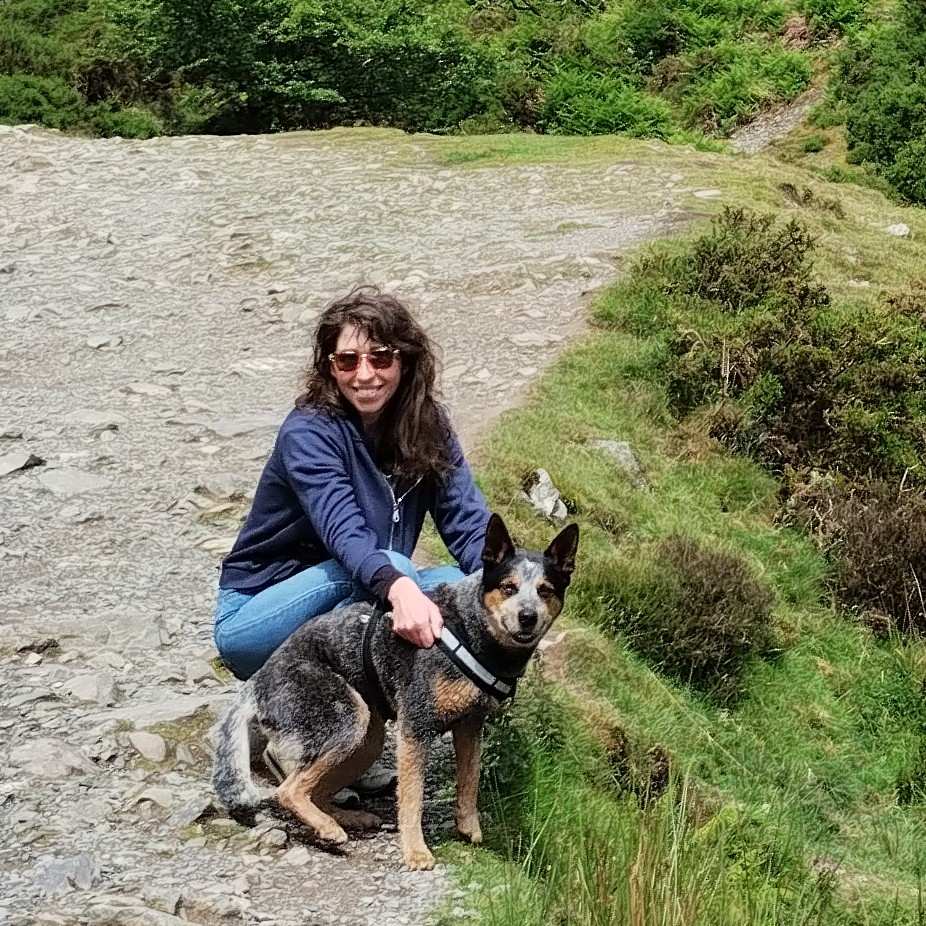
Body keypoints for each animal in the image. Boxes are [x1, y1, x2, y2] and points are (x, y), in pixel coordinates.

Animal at [212, 516, 580, 872]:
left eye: (545, 590)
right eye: (508, 587)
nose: (527, 616)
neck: (469, 630)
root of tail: (257, 682)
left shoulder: (471, 727)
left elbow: (470, 778)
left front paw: (468, 827)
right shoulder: (415, 727)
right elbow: (413, 797)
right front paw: (416, 851)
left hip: (367, 740)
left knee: (315, 787)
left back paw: (343, 817)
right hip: (347, 719)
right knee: (289, 788)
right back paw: (328, 826)